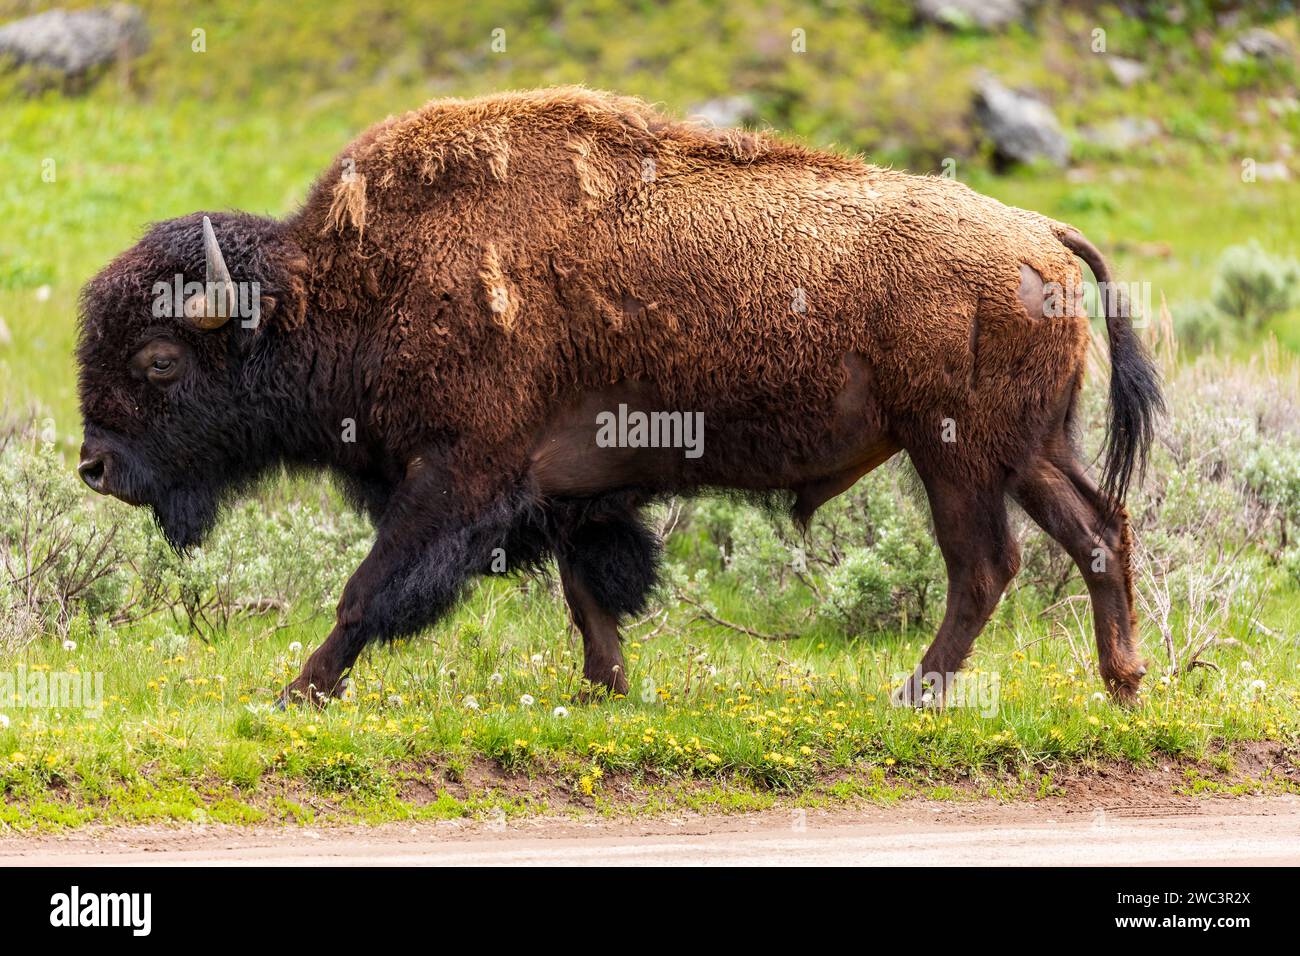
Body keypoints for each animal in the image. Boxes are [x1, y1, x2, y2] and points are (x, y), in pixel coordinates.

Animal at [76, 87, 1164, 702]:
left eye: (161, 361)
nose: (94, 466)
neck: (355, 280)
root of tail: (1039, 233)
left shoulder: (459, 474)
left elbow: (370, 588)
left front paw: (299, 690)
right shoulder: (562, 487)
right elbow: (587, 589)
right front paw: (606, 690)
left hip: (955, 453)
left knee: (986, 564)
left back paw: (920, 692)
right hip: (1031, 447)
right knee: (1097, 529)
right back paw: (1121, 683)